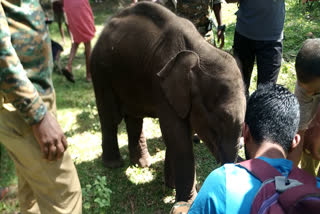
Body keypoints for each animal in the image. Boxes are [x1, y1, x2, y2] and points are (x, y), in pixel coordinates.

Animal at [91, 1, 246, 202]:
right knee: (110, 117)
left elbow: (180, 133)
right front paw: (187, 201)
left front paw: (171, 187)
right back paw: (114, 164)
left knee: (134, 118)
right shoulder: (162, 85)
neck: (200, 50)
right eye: (217, 122)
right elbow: (176, 135)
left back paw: (143, 164)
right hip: (100, 71)